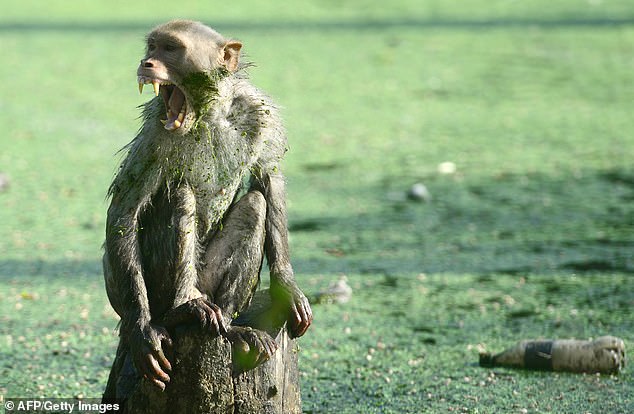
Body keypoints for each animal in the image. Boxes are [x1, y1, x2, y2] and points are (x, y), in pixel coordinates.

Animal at [99, 21, 314, 396]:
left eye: (171, 48)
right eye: (152, 47)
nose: (146, 62)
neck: (209, 114)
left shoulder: (259, 113)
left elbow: (269, 181)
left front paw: (287, 286)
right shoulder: (156, 129)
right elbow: (126, 210)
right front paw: (142, 330)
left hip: (209, 279)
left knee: (255, 204)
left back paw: (230, 326)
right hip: (151, 290)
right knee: (179, 193)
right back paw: (182, 309)